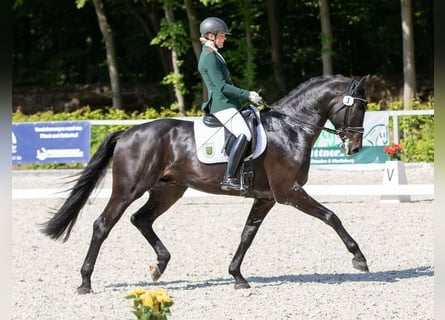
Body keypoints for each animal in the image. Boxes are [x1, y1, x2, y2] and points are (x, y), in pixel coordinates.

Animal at [41, 74, 370, 294]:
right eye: (359, 108)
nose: (354, 147)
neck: (290, 128)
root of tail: (128, 132)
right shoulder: (289, 192)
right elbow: (331, 216)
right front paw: (359, 259)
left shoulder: (266, 197)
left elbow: (247, 235)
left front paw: (237, 276)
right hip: (128, 188)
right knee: (103, 224)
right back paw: (85, 282)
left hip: (169, 189)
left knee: (141, 219)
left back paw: (159, 265)